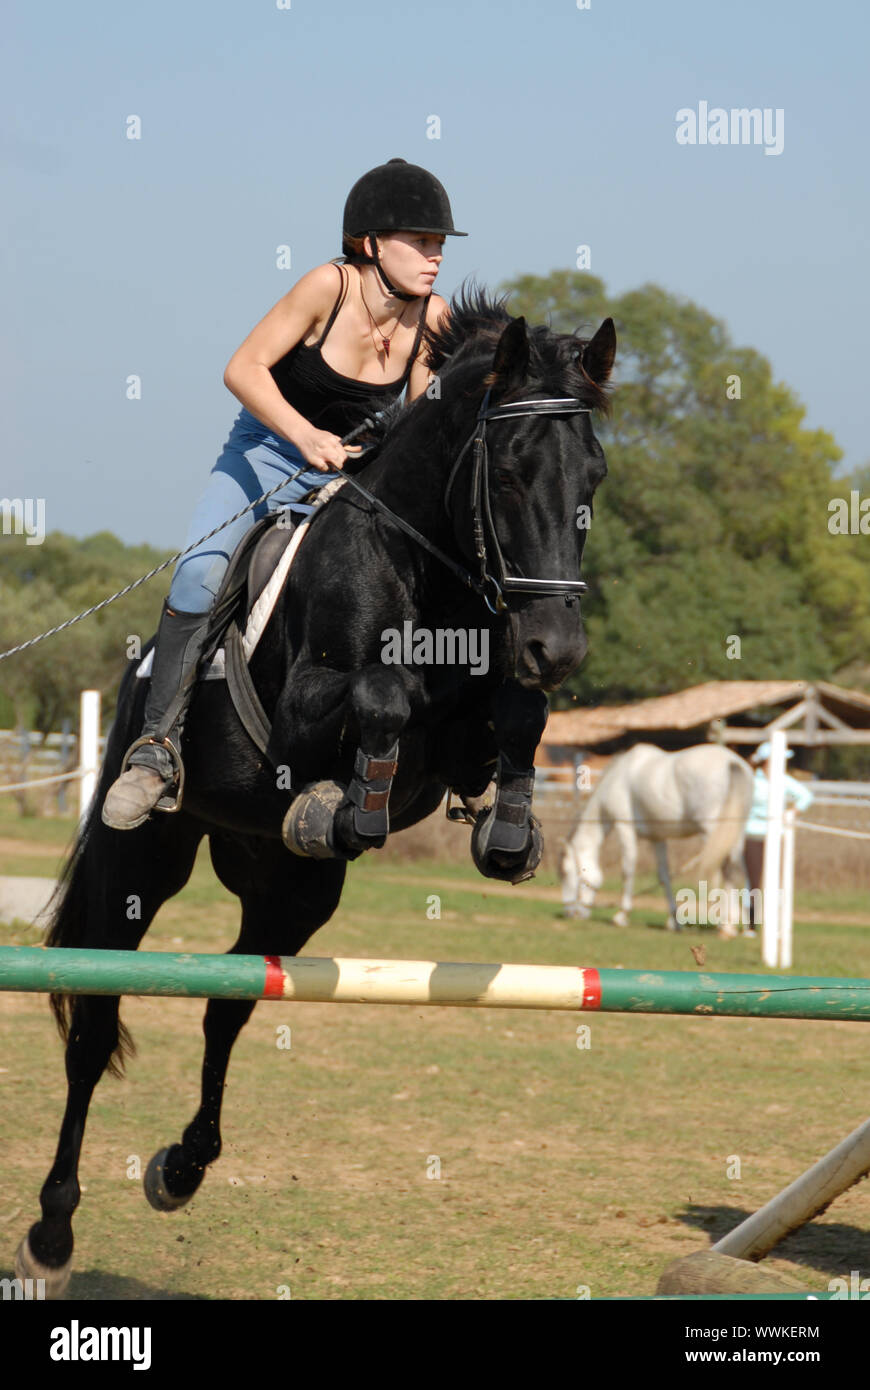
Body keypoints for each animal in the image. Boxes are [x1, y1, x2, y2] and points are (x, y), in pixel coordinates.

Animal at [13, 282, 614, 1289]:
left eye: (593, 481)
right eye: (508, 475)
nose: (557, 649)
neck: (430, 571)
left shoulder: (474, 723)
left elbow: (514, 718)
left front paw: (506, 836)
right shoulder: (302, 711)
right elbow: (383, 691)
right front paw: (347, 802)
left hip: (288, 894)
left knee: (229, 1004)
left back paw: (181, 1168)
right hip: (142, 859)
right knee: (96, 1023)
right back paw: (52, 1231)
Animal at [558, 745, 750, 928]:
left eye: (566, 873)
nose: (571, 913)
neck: (617, 778)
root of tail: (732, 763)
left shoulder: (624, 827)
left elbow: (628, 869)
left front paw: (622, 915)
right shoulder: (657, 838)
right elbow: (664, 875)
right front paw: (673, 921)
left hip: (712, 833)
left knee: (724, 870)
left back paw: (726, 923)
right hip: (735, 834)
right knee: (736, 869)